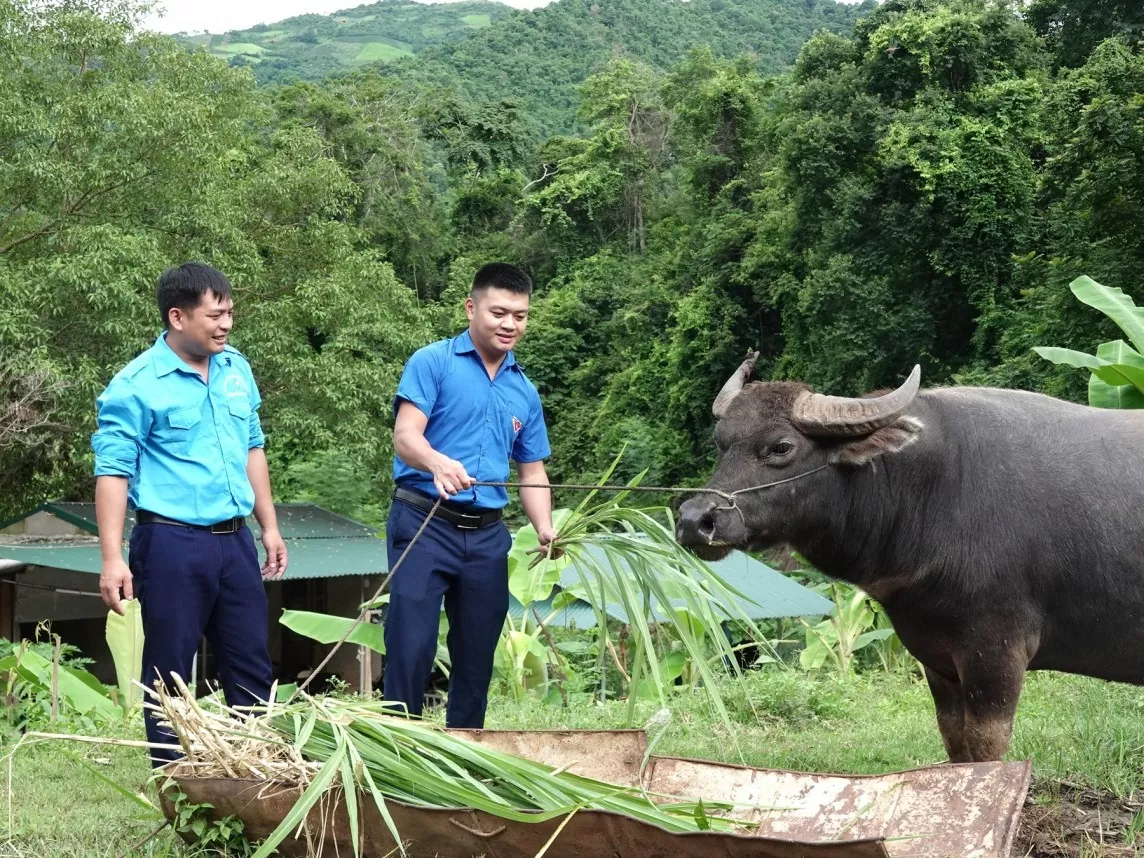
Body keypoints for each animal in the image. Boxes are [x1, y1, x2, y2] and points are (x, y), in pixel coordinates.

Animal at [672, 352, 1144, 764]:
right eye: (721, 444)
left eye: (781, 447)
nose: (695, 520)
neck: (934, 492)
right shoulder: (937, 658)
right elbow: (955, 741)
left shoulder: (997, 654)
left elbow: (986, 748)